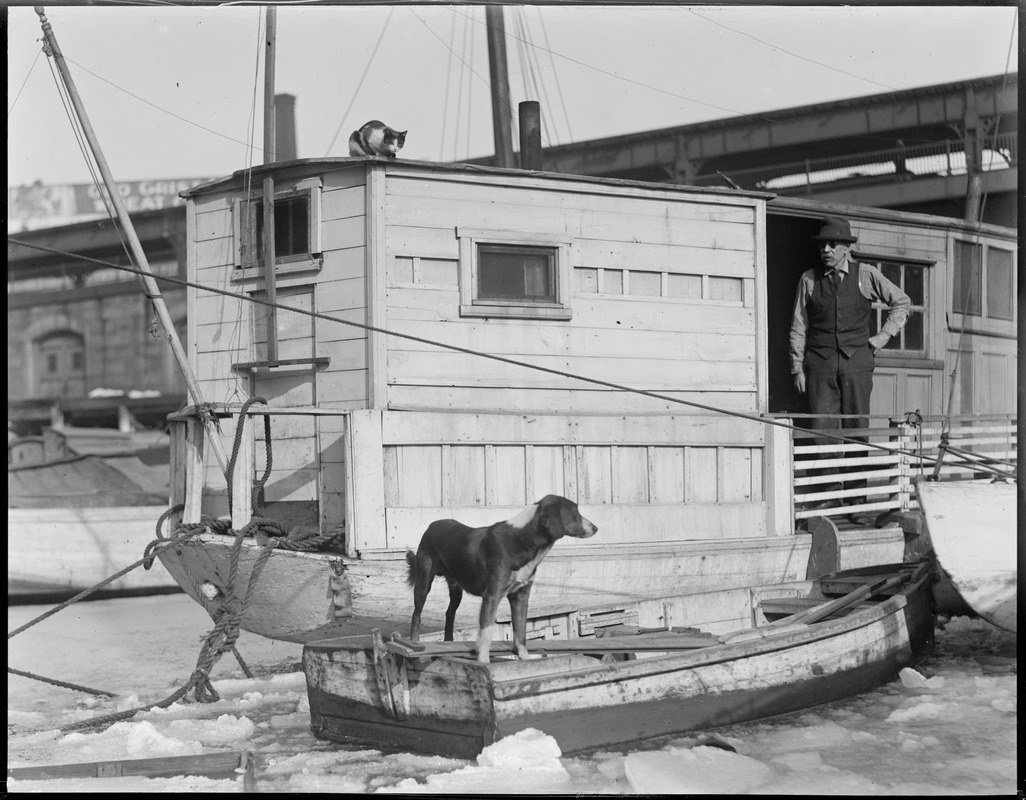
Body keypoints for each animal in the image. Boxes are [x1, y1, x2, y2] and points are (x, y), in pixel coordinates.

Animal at [404, 494, 599, 660]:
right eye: (575, 513)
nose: (596, 527)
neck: (522, 540)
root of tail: (431, 526)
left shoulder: (521, 596)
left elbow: (521, 632)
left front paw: (525, 658)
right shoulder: (492, 595)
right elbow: (486, 633)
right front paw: (484, 662)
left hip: (456, 589)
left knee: (449, 613)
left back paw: (448, 642)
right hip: (423, 583)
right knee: (416, 615)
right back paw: (415, 644)